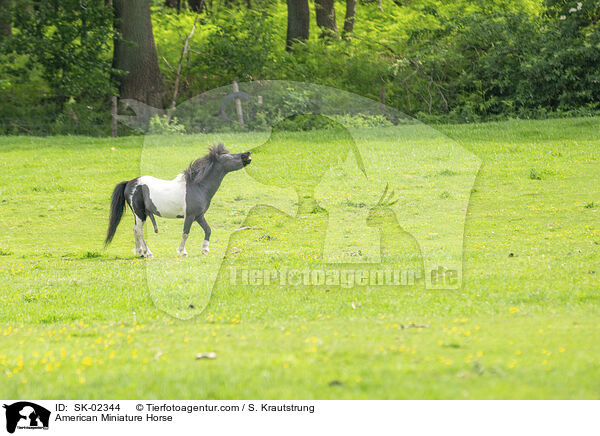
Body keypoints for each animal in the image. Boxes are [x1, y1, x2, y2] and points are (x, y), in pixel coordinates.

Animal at [105, 145, 251, 258]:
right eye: (229, 157)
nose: (247, 154)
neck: (198, 186)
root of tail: (129, 183)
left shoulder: (199, 216)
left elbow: (208, 230)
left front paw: (205, 249)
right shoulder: (190, 216)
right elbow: (185, 233)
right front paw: (182, 251)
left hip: (140, 214)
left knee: (135, 229)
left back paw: (140, 252)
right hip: (140, 213)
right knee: (139, 231)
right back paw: (146, 252)